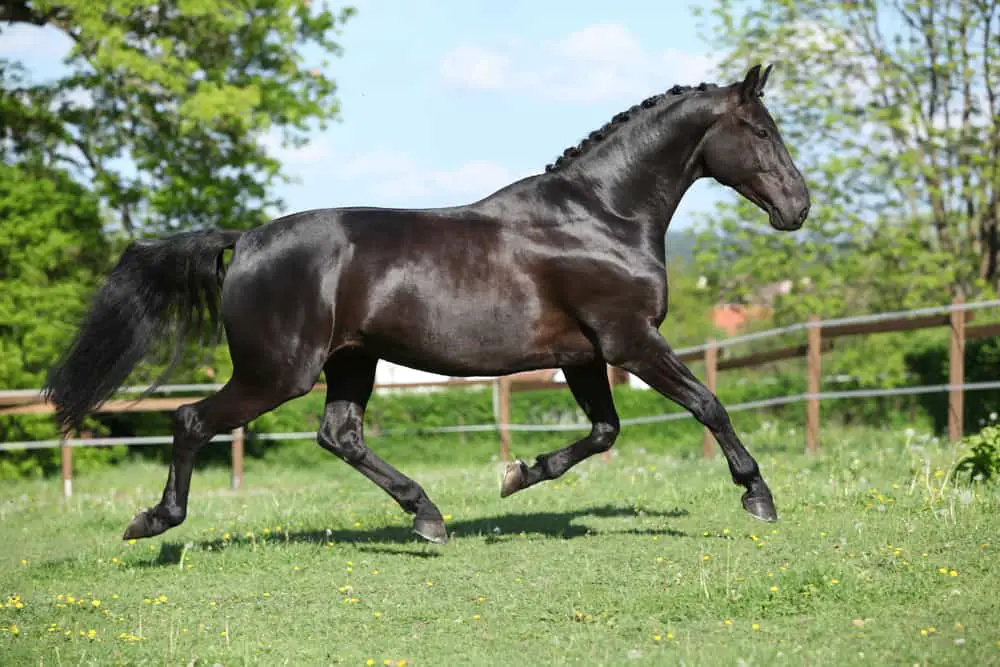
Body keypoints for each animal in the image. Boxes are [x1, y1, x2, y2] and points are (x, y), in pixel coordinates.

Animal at [48, 62, 812, 544]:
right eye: (762, 131)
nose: (798, 208)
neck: (602, 216)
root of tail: (248, 238)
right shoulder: (630, 340)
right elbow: (708, 403)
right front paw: (759, 496)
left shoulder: (584, 355)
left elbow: (603, 432)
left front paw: (517, 475)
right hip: (278, 372)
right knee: (191, 420)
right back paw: (153, 521)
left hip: (350, 362)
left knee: (339, 435)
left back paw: (428, 517)